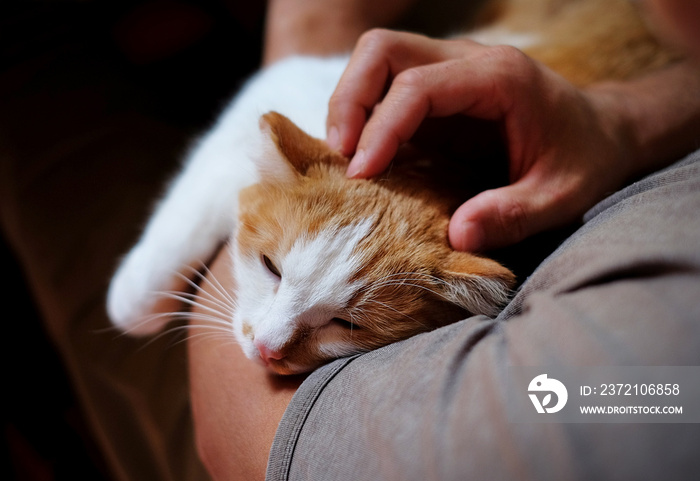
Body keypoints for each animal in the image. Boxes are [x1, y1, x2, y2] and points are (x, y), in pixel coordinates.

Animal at [108, 0, 680, 374]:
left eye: (346, 326)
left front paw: (128, 303)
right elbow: (197, 199)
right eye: (270, 267)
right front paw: (134, 300)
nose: (267, 350)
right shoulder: (276, 86)